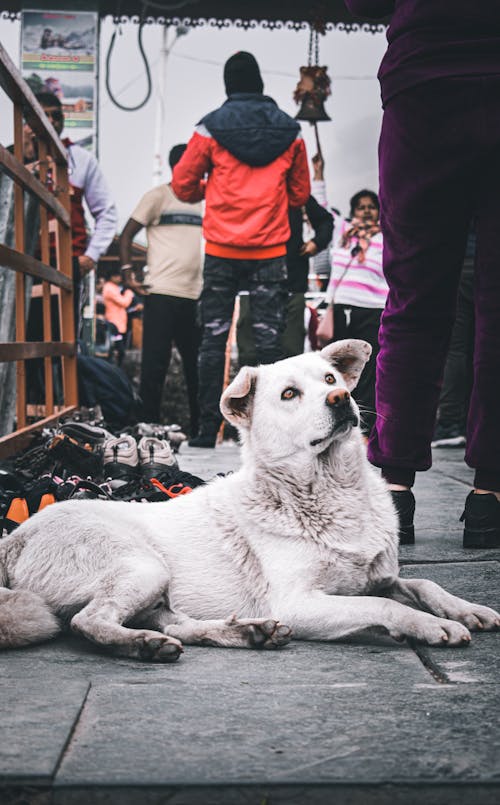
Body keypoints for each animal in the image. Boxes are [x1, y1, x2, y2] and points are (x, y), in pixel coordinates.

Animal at [0, 340, 500, 660]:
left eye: (330, 378)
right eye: (289, 394)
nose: (341, 397)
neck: (330, 489)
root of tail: (16, 538)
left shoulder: (380, 576)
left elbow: (422, 584)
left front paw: (468, 609)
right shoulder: (298, 603)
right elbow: (385, 606)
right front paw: (432, 626)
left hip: (155, 585)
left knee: (174, 622)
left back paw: (244, 633)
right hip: (140, 565)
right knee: (88, 621)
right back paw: (140, 645)